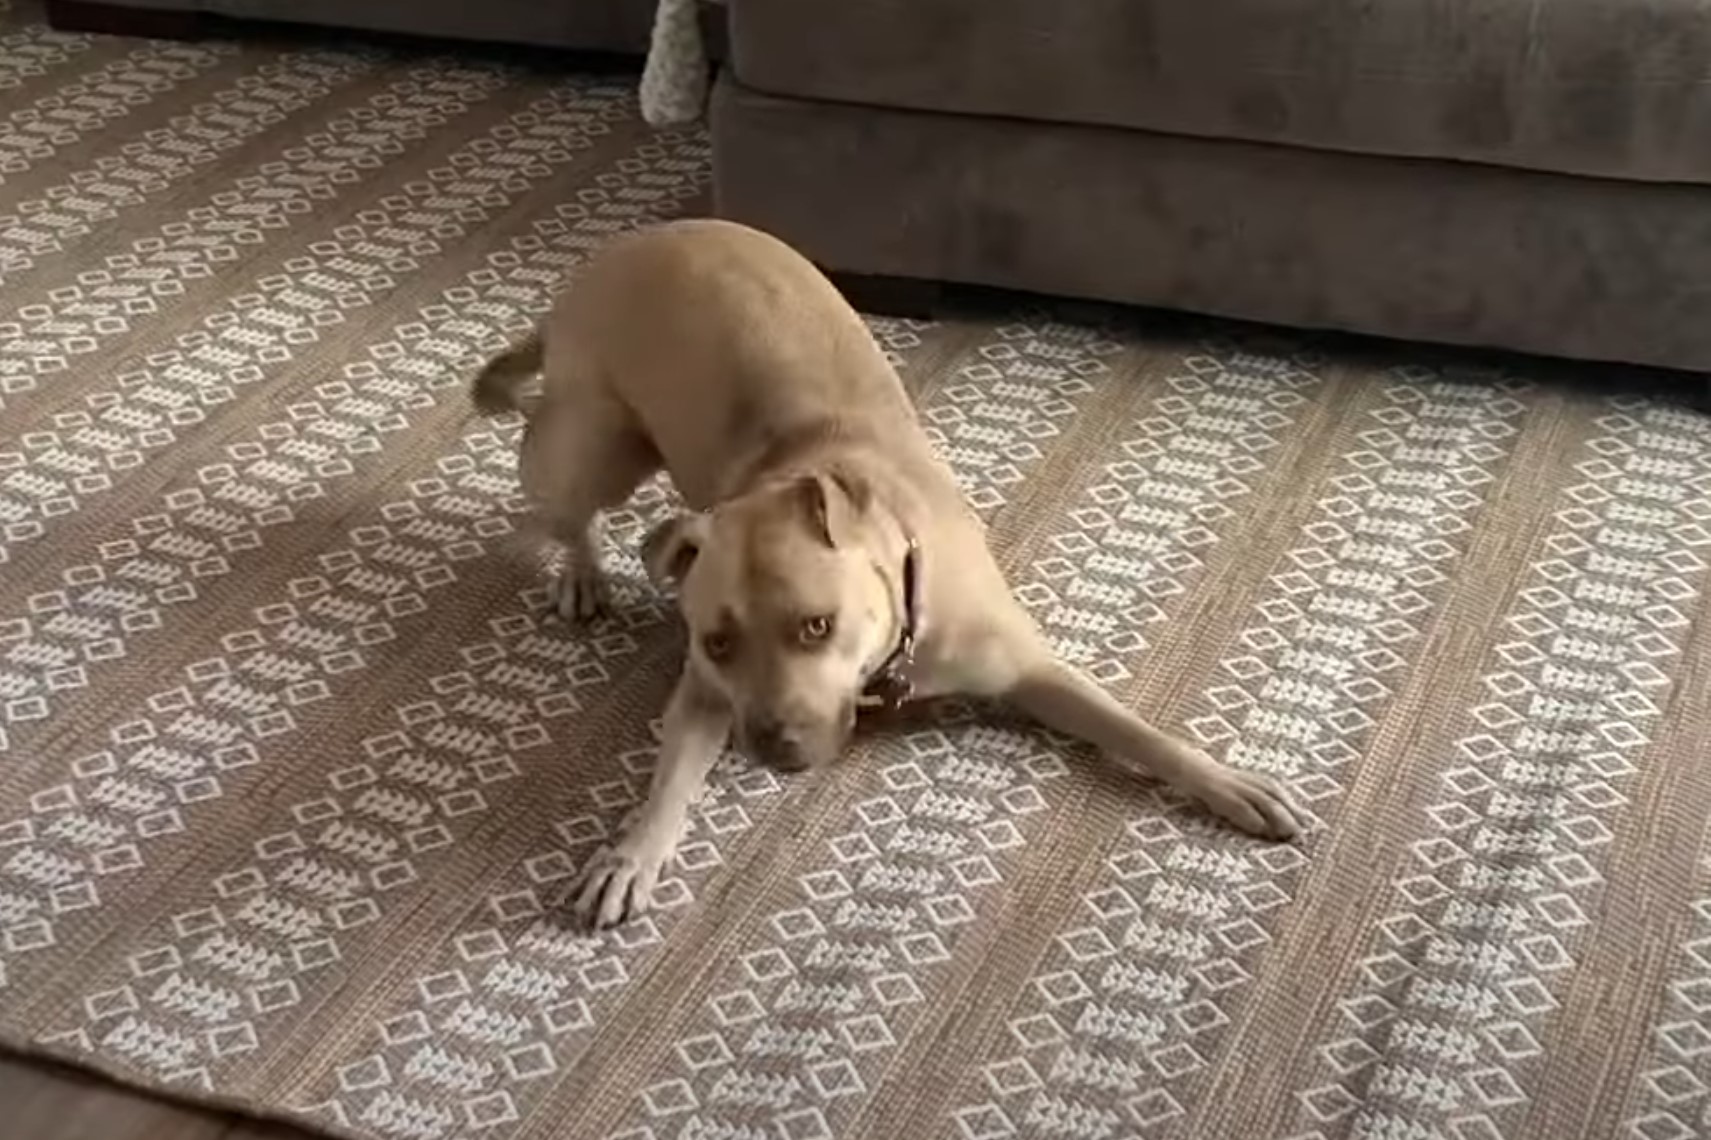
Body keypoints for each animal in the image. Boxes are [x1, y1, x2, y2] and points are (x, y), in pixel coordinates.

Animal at [468, 219, 1293, 924]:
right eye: (717, 643)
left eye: (816, 625)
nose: (772, 746)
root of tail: (624, 245)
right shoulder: (704, 692)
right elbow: (669, 780)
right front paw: (633, 854)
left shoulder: (1029, 668)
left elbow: (1134, 729)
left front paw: (1225, 783)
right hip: (595, 446)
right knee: (558, 490)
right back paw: (582, 569)